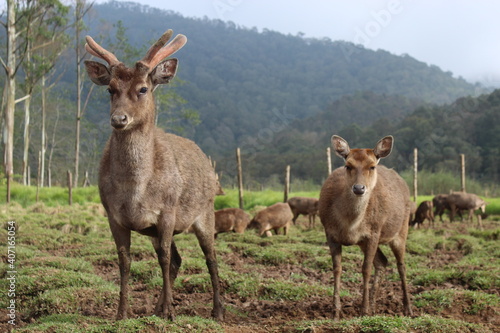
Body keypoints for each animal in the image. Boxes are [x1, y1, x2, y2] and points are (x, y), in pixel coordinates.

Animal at [84, 29, 225, 320]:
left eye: (143, 88)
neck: (135, 190)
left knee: (211, 258)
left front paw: (171, 312)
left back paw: (217, 310)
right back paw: (159, 307)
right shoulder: (112, 214)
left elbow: (163, 258)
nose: (119, 119)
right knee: (179, 259)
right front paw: (122, 313)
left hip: (206, 212)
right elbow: (125, 260)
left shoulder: (167, 210)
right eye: (110, 89)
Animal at [318, 135, 412, 320]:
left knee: (401, 265)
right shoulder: (330, 233)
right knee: (383, 261)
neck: (349, 224)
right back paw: (374, 307)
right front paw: (336, 312)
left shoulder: (374, 232)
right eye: (348, 165)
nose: (359, 188)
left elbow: (365, 268)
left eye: (372, 166)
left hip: (401, 230)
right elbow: (337, 269)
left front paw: (363, 310)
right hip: (364, 242)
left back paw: (408, 309)